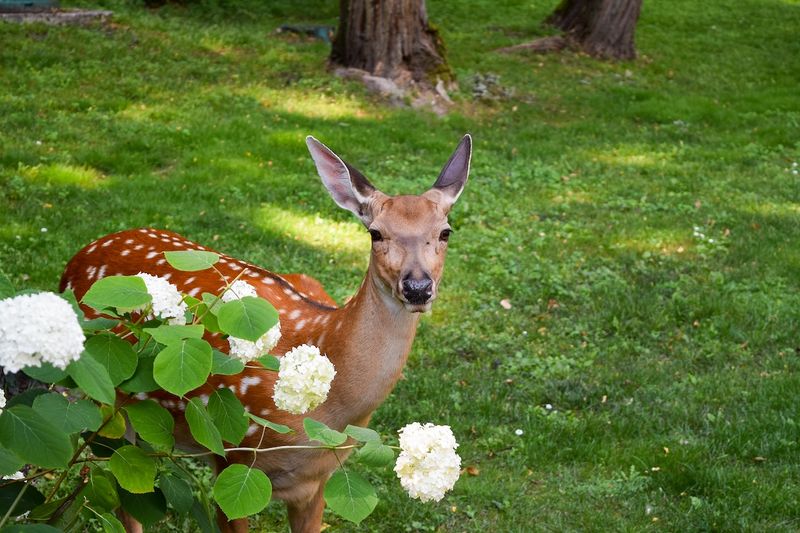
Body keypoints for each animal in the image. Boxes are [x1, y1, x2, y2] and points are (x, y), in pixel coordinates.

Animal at [59, 134, 472, 533]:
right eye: (375, 233)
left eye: (445, 232)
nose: (417, 287)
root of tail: (79, 256)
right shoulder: (232, 454)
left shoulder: (319, 479)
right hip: (100, 400)